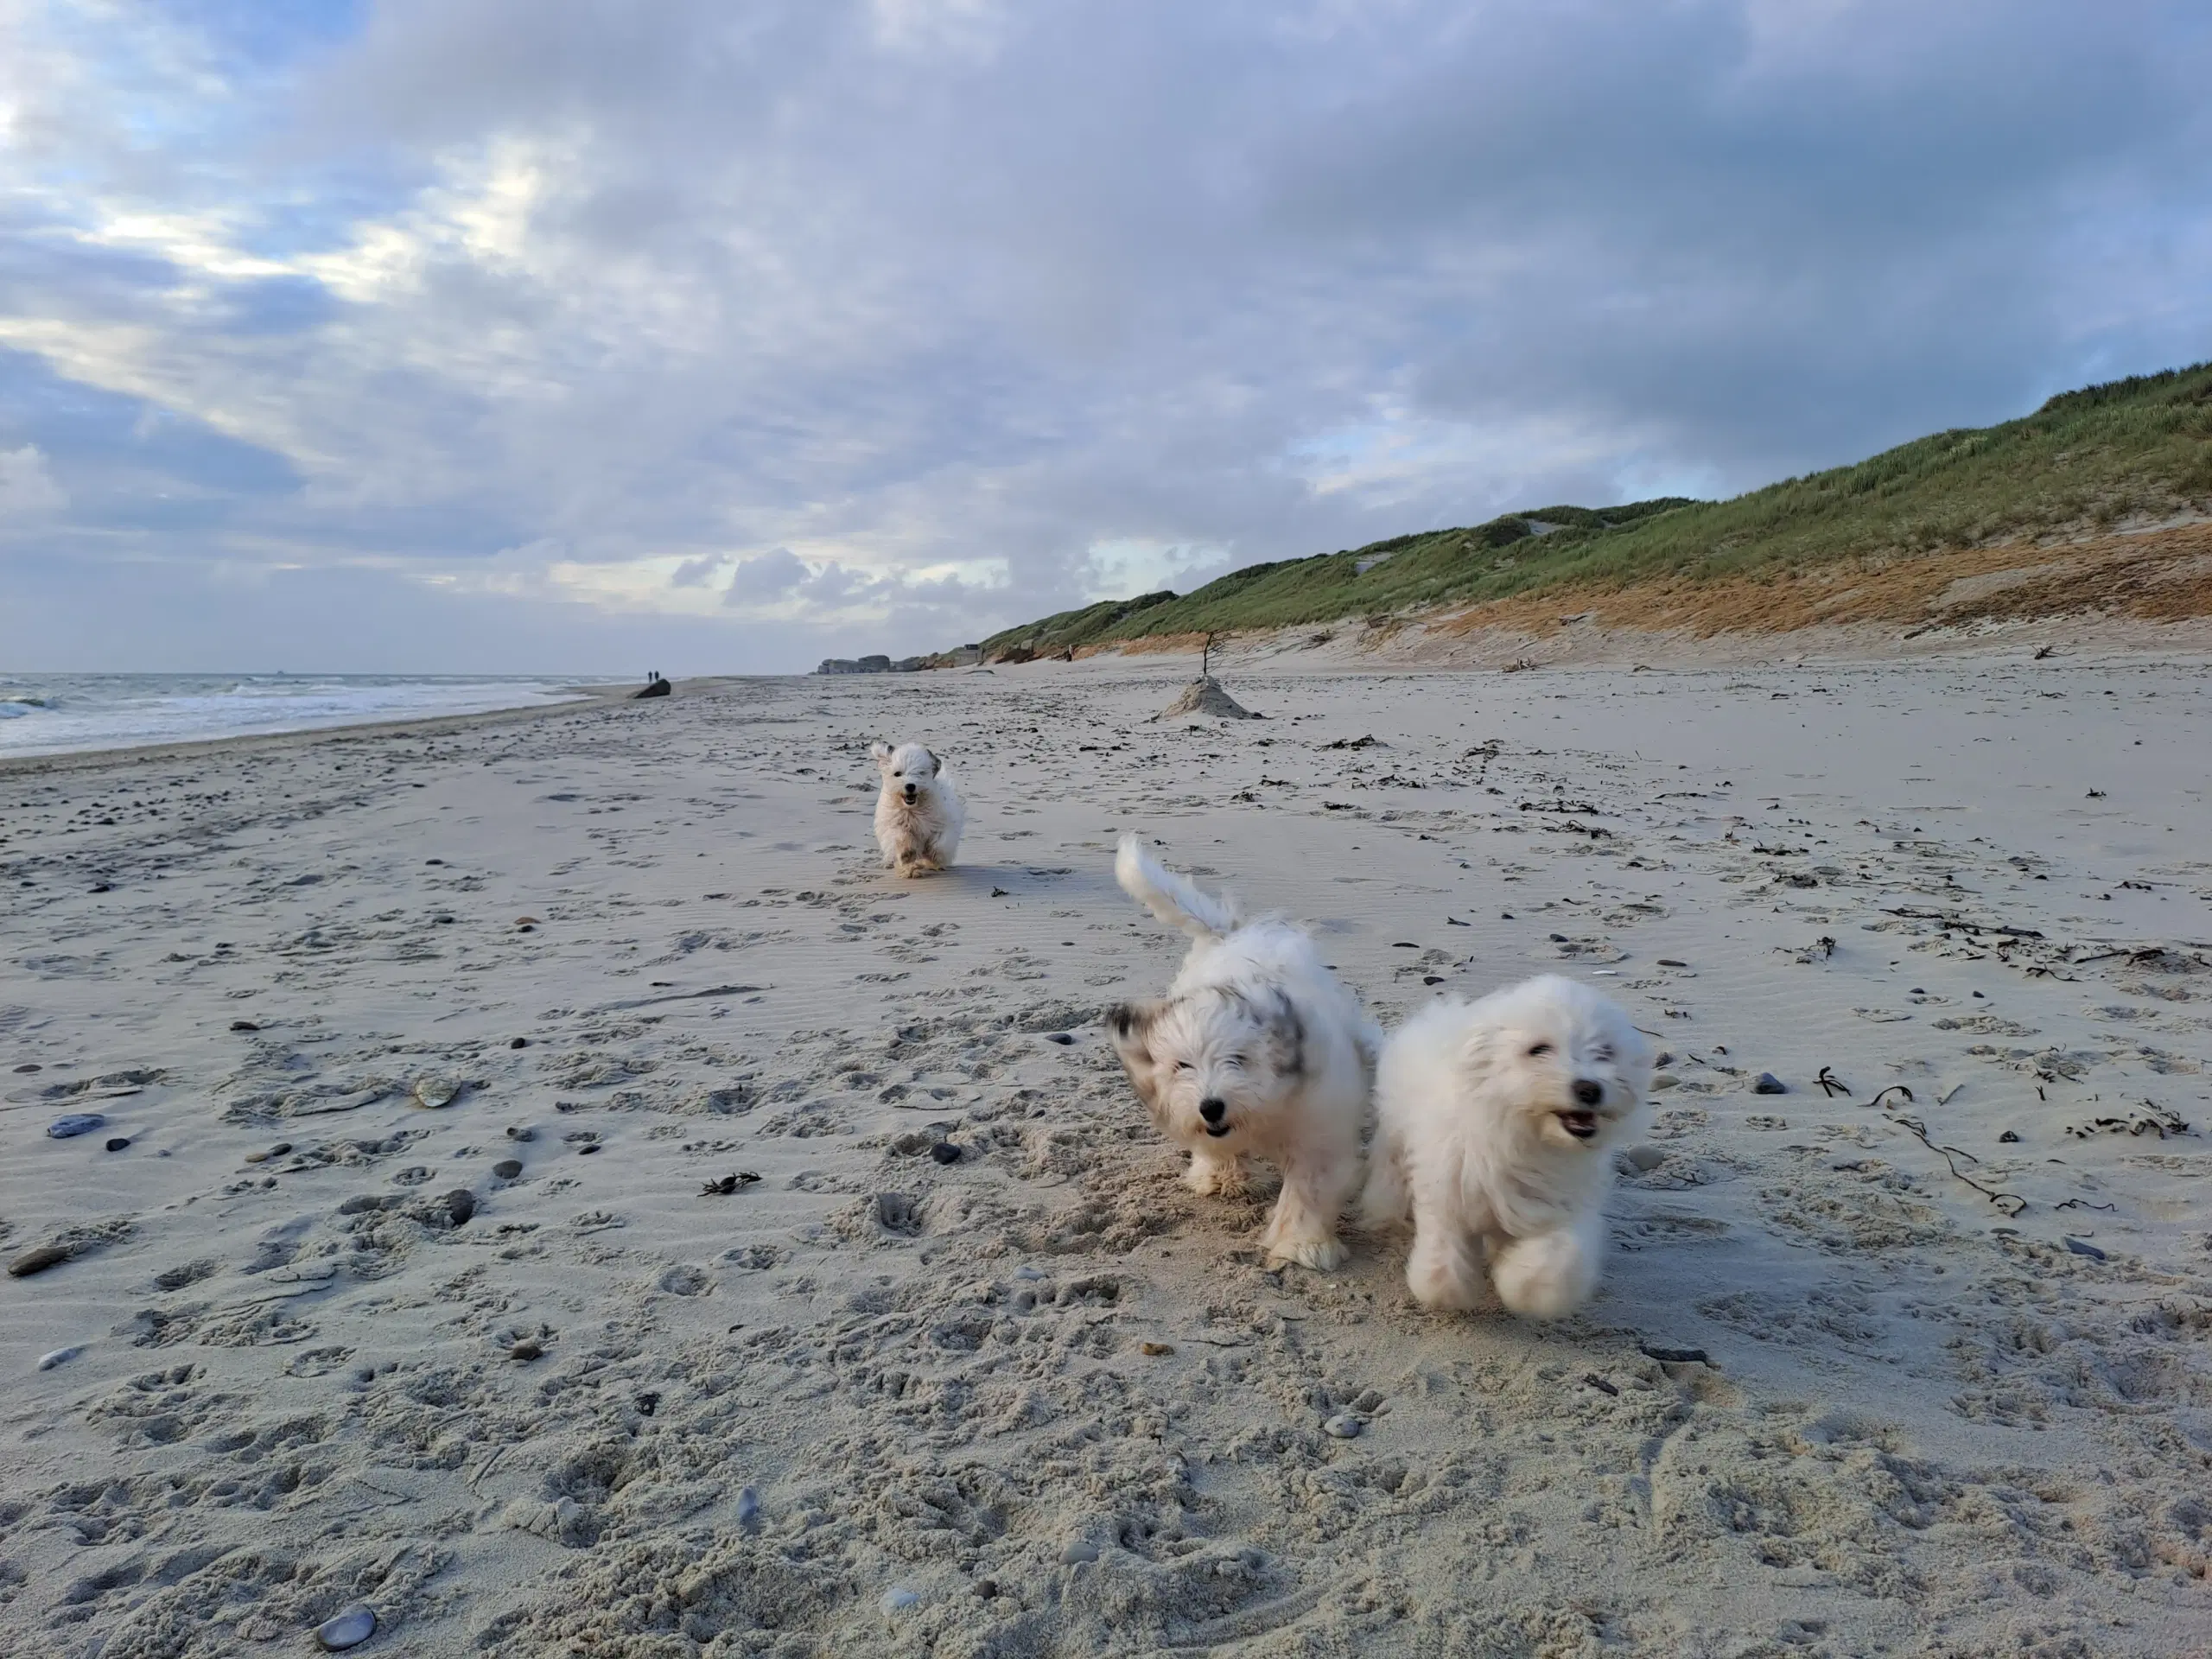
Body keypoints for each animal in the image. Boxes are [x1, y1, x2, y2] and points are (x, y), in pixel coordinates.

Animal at [867, 743, 964, 875]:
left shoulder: (943, 823)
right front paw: (907, 853)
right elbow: (901, 836)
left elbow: (940, 842)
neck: (913, 809)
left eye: (921, 773)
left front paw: (933, 856)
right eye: (897, 773)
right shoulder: (893, 825)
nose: (910, 786)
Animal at [1101, 831, 1371, 1274]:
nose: (1211, 1106)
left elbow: (1308, 1189)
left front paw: (1302, 1245)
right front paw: (1224, 1177)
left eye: (1240, 1060)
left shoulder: (1319, 1126)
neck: (1263, 1111)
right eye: (1182, 1066)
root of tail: (1229, 935)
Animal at [1353, 973, 1654, 1327]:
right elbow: (1444, 1245)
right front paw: (1446, 1290)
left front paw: (1524, 1286)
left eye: (1606, 1052)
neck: (1521, 1132)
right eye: (1538, 1049)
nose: (1590, 1089)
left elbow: (1556, 1256)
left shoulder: (1557, 1203)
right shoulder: (1447, 1188)